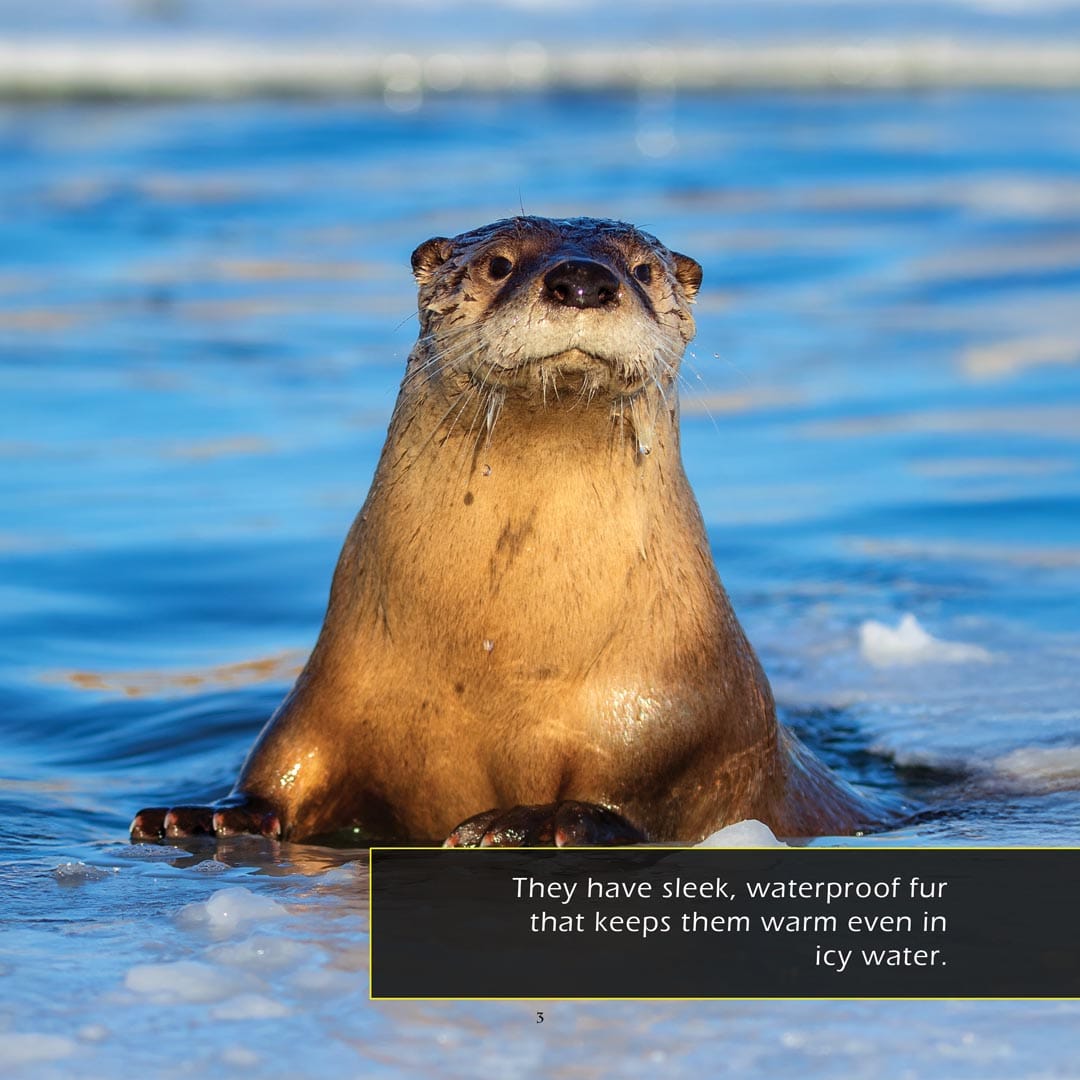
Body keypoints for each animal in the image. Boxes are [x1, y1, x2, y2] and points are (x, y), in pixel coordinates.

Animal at [131, 215, 882, 847]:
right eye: (499, 263)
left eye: (644, 270)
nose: (583, 279)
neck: (503, 655)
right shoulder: (331, 689)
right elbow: (289, 759)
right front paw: (206, 815)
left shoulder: (676, 708)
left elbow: (633, 789)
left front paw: (526, 821)